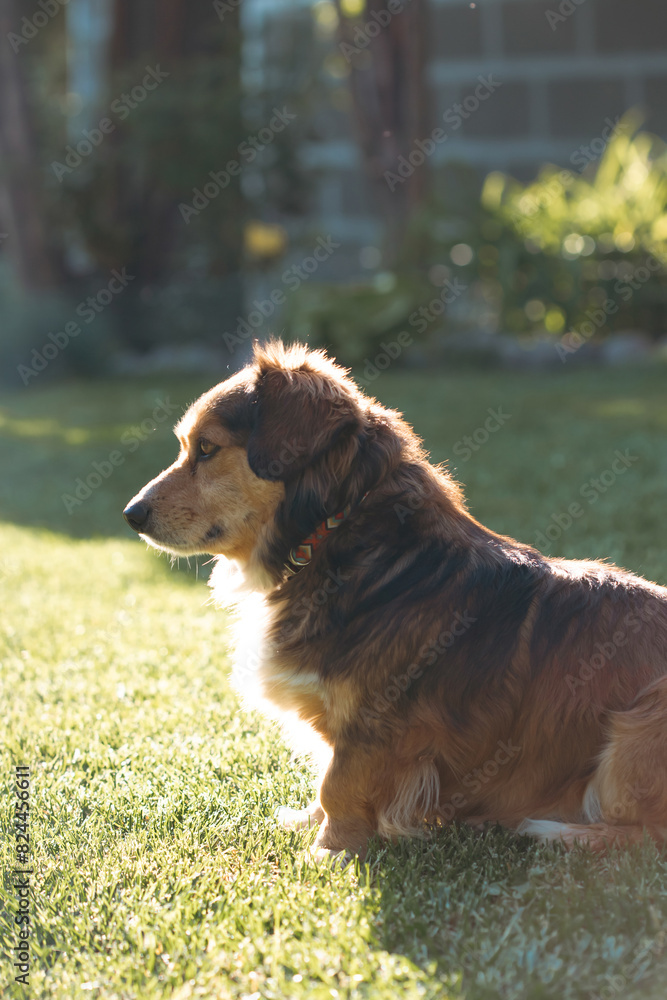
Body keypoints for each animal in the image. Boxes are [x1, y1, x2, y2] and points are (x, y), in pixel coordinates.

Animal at [122, 342, 667, 860]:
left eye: (207, 449)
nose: (131, 514)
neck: (338, 535)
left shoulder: (378, 720)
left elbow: (339, 783)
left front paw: (331, 851)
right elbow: (325, 778)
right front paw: (308, 822)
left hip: (639, 724)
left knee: (643, 839)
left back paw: (555, 831)